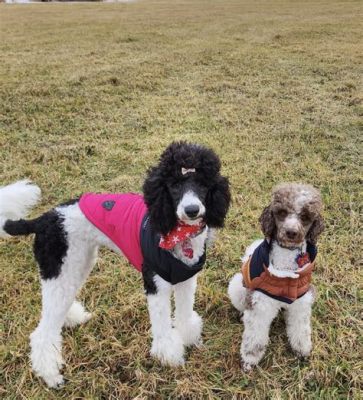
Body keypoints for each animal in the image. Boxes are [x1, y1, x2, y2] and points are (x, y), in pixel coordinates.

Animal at [0, 141, 230, 388]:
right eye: (174, 185)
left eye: (202, 184)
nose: (192, 210)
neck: (178, 232)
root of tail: (45, 218)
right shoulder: (156, 285)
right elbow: (162, 326)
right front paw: (169, 356)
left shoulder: (185, 279)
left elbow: (185, 314)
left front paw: (188, 338)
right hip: (59, 266)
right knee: (43, 332)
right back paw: (51, 375)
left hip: (76, 264)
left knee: (58, 306)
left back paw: (71, 317)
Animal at [229, 183, 326, 370]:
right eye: (281, 212)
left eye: (305, 216)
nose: (291, 232)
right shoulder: (260, 303)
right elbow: (254, 336)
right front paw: (249, 359)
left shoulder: (301, 301)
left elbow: (300, 328)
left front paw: (301, 349)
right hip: (237, 287)